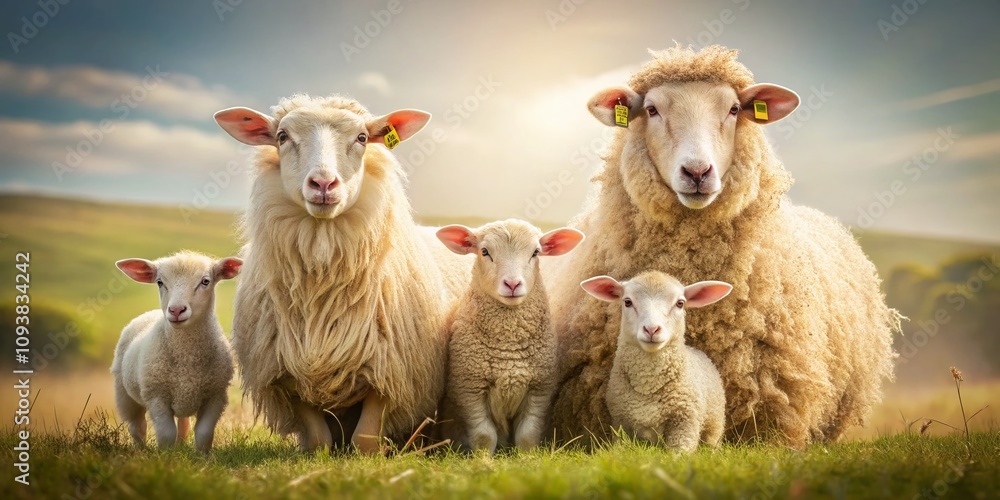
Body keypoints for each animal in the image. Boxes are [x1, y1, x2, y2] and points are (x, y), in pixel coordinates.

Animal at [111, 251, 240, 453]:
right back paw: (141, 450)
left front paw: (203, 457)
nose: (176, 310)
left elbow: (203, 433)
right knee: (137, 426)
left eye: (205, 281)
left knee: (183, 424)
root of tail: (151, 312)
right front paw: (165, 456)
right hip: (124, 394)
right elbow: (166, 434)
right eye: (159, 282)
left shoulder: (216, 396)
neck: (186, 358)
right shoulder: (156, 397)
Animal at [214, 94, 467, 454]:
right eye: (282, 136)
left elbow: (364, 438)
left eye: (362, 137)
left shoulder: (389, 371)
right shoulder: (288, 371)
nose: (323, 183)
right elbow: (318, 438)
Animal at [435, 219, 584, 454]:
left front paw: (527, 458)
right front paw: (483, 460)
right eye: (485, 251)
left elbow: (527, 436)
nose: (512, 284)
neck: (508, 348)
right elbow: (484, 436)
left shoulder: (539, 389)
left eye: (536, 252)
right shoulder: (469, 389)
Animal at [581, 271, 729, 451]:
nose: (652, 329)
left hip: (714, 424)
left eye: (680, 303)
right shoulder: (621, 422)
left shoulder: (686, 423)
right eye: (627, 301)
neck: (648, 385)